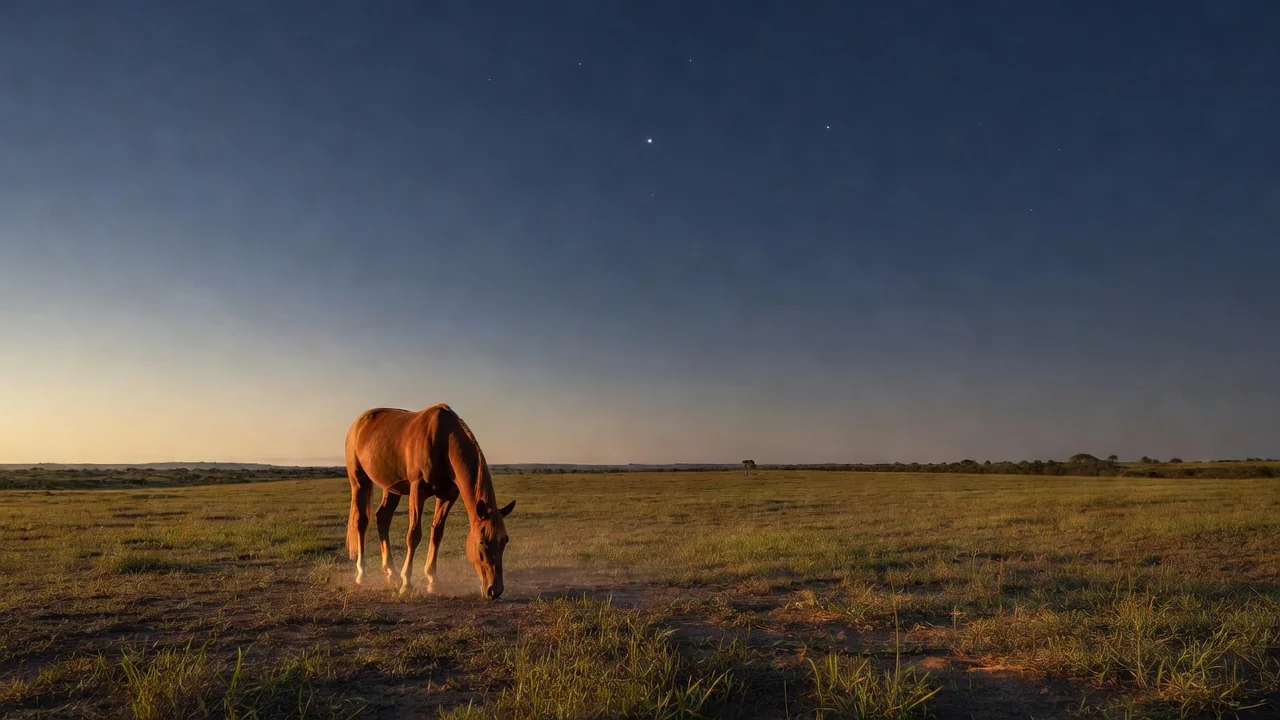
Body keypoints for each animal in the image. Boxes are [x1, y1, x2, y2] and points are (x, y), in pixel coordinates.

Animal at [344, 403, 515, 599]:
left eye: (505, 541)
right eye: (482, 541)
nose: (495, 590)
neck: (444, 440)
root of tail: (358, 423)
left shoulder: (448, 496)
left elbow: (437, 533)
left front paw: (433, 581)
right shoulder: (417, 489)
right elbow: (414, 535)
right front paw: (407, 583)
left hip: (391, 488)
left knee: (383, 518)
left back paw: (391, 573)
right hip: (359, 482)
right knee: (361, 522)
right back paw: (362, 574)